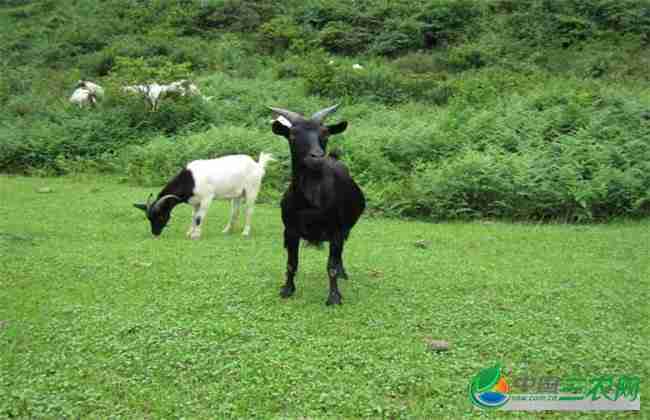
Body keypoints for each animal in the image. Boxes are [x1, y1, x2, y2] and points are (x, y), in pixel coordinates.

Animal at [132, 153, 274, 240]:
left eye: (161, 216)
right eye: (149, 218)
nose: (155, 234)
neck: (190, 180)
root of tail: (257, 165)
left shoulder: (207, 198)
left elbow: (199, 217)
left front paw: (196, 235)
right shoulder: (195, 201)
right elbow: (193, 216)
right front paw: (190, 232)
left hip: (252, 189)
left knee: (249, 210)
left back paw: (245, 232)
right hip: (237, 194)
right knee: (235, 212)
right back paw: (226, 231)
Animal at [268, 105, 362, 306]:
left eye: (325, 134)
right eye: (293, 135)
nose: (317, 157)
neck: (311, 202)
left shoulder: (336, 230)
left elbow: (331, 266)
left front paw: (334, 297)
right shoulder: (290, 230)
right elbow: (291, 264)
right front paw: (287, 290)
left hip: (345, 230)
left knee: (340, 255)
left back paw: (343, 274)